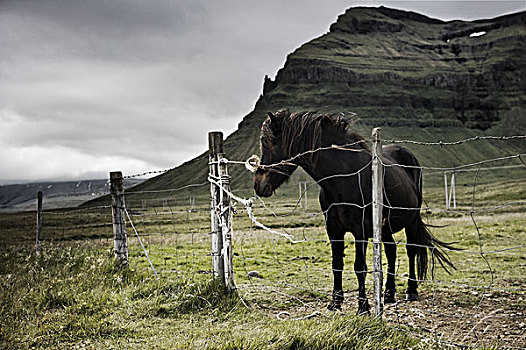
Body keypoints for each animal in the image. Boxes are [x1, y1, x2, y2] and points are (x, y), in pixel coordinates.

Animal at [254, 110, 456, 314]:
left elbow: (360, 267)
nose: (258, 185)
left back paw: (411, 290)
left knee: (411, 250)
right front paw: (335, 302)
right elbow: (337, 265)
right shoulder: (334, 230)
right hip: (385, 228)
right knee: (391, 251)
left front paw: (363, 306)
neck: (343, 178)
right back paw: (388, 294)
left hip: (412, 220)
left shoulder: (360, 230)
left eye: (271, 143)